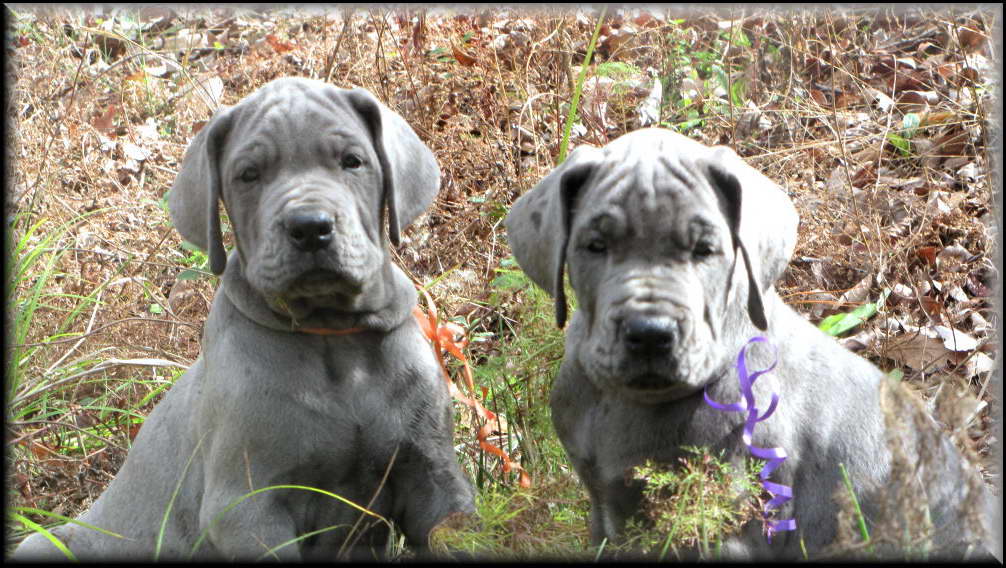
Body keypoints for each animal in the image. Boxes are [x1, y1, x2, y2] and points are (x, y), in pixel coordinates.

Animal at [14, 77, 470, 558]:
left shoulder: (435, 482)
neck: (332, 335)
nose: (310, 227)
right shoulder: (246, 508)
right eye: (249, 175)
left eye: (352, 161)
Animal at [507, 128, 1001, 558]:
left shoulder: (721, 530)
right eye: (596, 245)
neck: (629, 402)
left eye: (705, 249)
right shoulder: (604, 505)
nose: (649, 332)